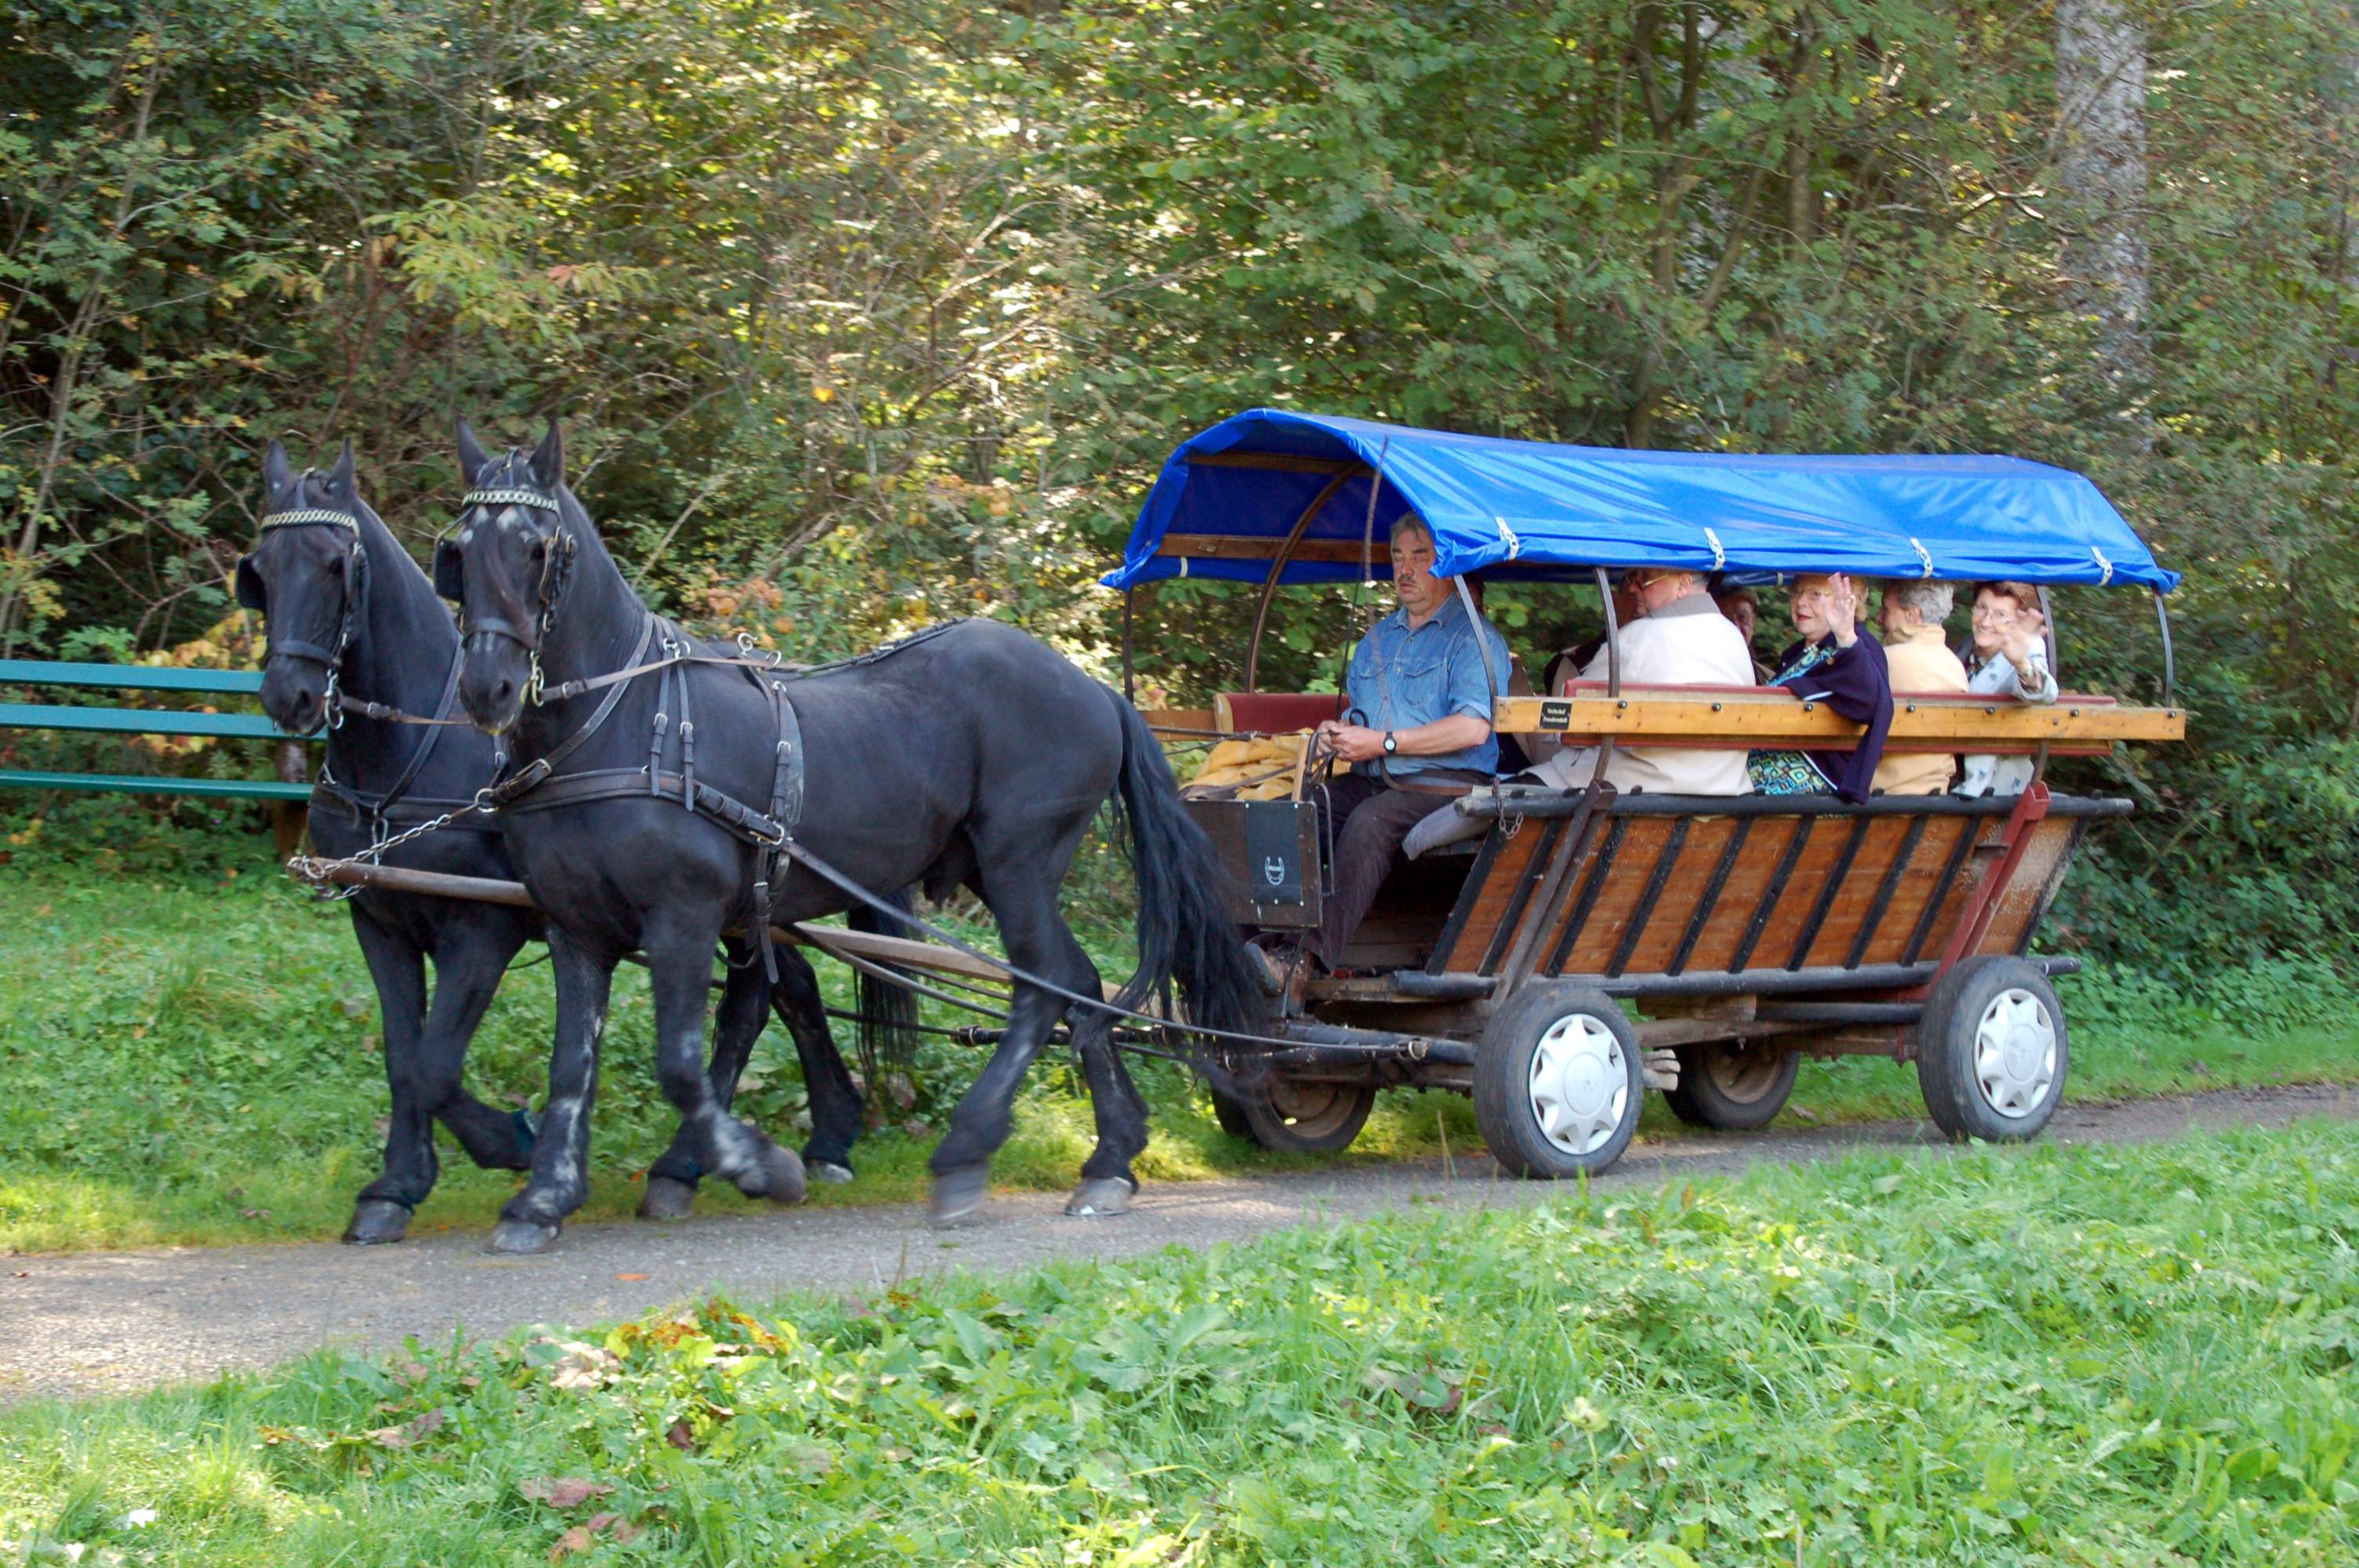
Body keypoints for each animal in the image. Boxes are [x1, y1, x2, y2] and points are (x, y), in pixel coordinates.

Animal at [242, 436, 892, 1235]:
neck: (414, 748)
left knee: (755, 1003)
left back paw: (693, 1164)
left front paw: (511, 1144)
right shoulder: (380, 921)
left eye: (336, 563)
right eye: (261, 569)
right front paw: (395, 1186)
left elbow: (434, 1064)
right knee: (784, 987)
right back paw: (826, 1133)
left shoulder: (481, 926)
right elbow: (403, 1056)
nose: (290, 695)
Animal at [431, 422, 1264, 1254]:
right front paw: (541, 1198)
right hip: (995, 871)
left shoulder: (683, 918)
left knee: (1038, 986)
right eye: (459, 552)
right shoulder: (576, 930)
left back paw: (966, 1152)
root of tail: (1092, 689)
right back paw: (1111, 1158)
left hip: (1020, 861)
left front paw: (758, 1167)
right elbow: (570, 1069)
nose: (486, 688)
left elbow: (680, 1067)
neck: (623, 724)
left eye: (536, 547)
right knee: (1079, 984)